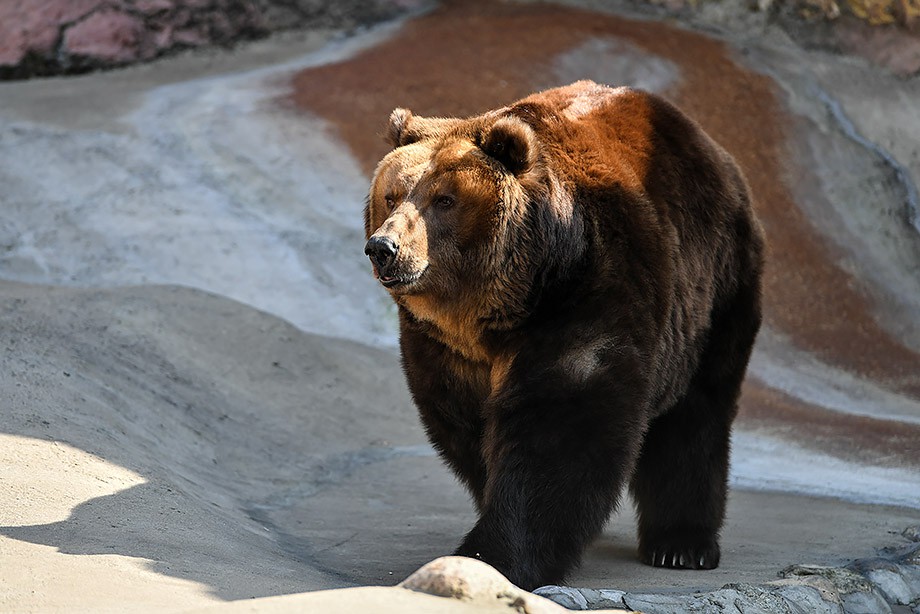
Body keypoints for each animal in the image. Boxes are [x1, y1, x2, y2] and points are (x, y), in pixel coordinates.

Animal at [362, 80, 764, 592]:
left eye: (444, 200)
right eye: (393, 195)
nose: (384, 248)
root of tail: (711, 148)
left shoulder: (587, 296)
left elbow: (559, 429)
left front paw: (494, 554)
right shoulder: (445, 351)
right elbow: (467, 428)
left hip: (714, 290)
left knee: (697, 411)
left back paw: (680, 545)